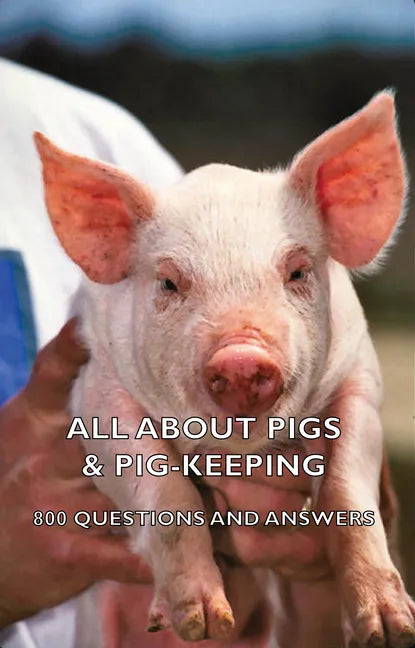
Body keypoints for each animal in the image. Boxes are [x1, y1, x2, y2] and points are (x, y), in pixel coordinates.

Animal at [34, 90, 414, 647]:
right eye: (169, 283)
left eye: (298, 271)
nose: (241, 355)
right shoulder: (96, 388)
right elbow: (170, 497)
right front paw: (203, 621)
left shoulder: (360, 375)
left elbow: (347, 492)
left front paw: (391, 628)